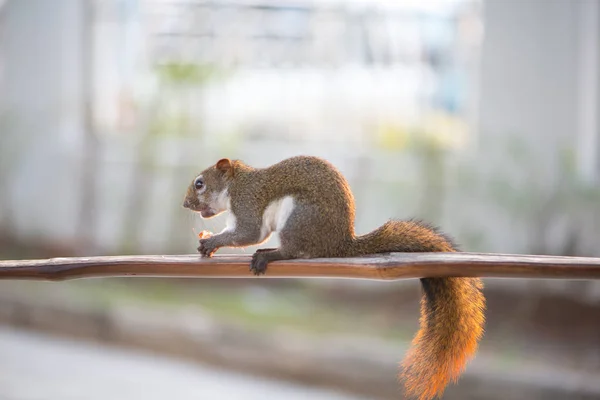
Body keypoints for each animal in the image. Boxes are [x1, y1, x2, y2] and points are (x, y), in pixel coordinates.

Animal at [182, 155, 482, 400]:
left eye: (199, 183)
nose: (185, 204)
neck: (236, 184)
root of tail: (339, 244)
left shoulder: (247, 203)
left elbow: (248, 233)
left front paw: (212, 242)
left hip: (298, 217)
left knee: (295, 251)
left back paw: (270, 255)